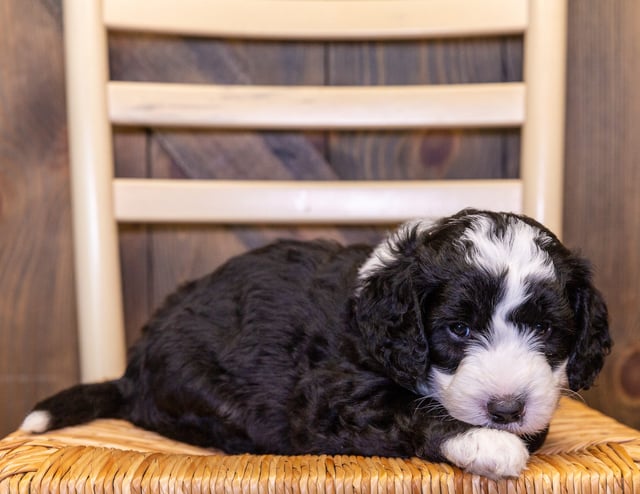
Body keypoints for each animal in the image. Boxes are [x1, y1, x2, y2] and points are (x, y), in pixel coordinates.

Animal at [21, 208, 608, 478]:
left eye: (546, 331)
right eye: (459, 330)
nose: (505, 409)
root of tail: (131, 371)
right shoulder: (333, 395)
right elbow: (410, 410)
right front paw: (486, 443)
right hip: (197, 388)